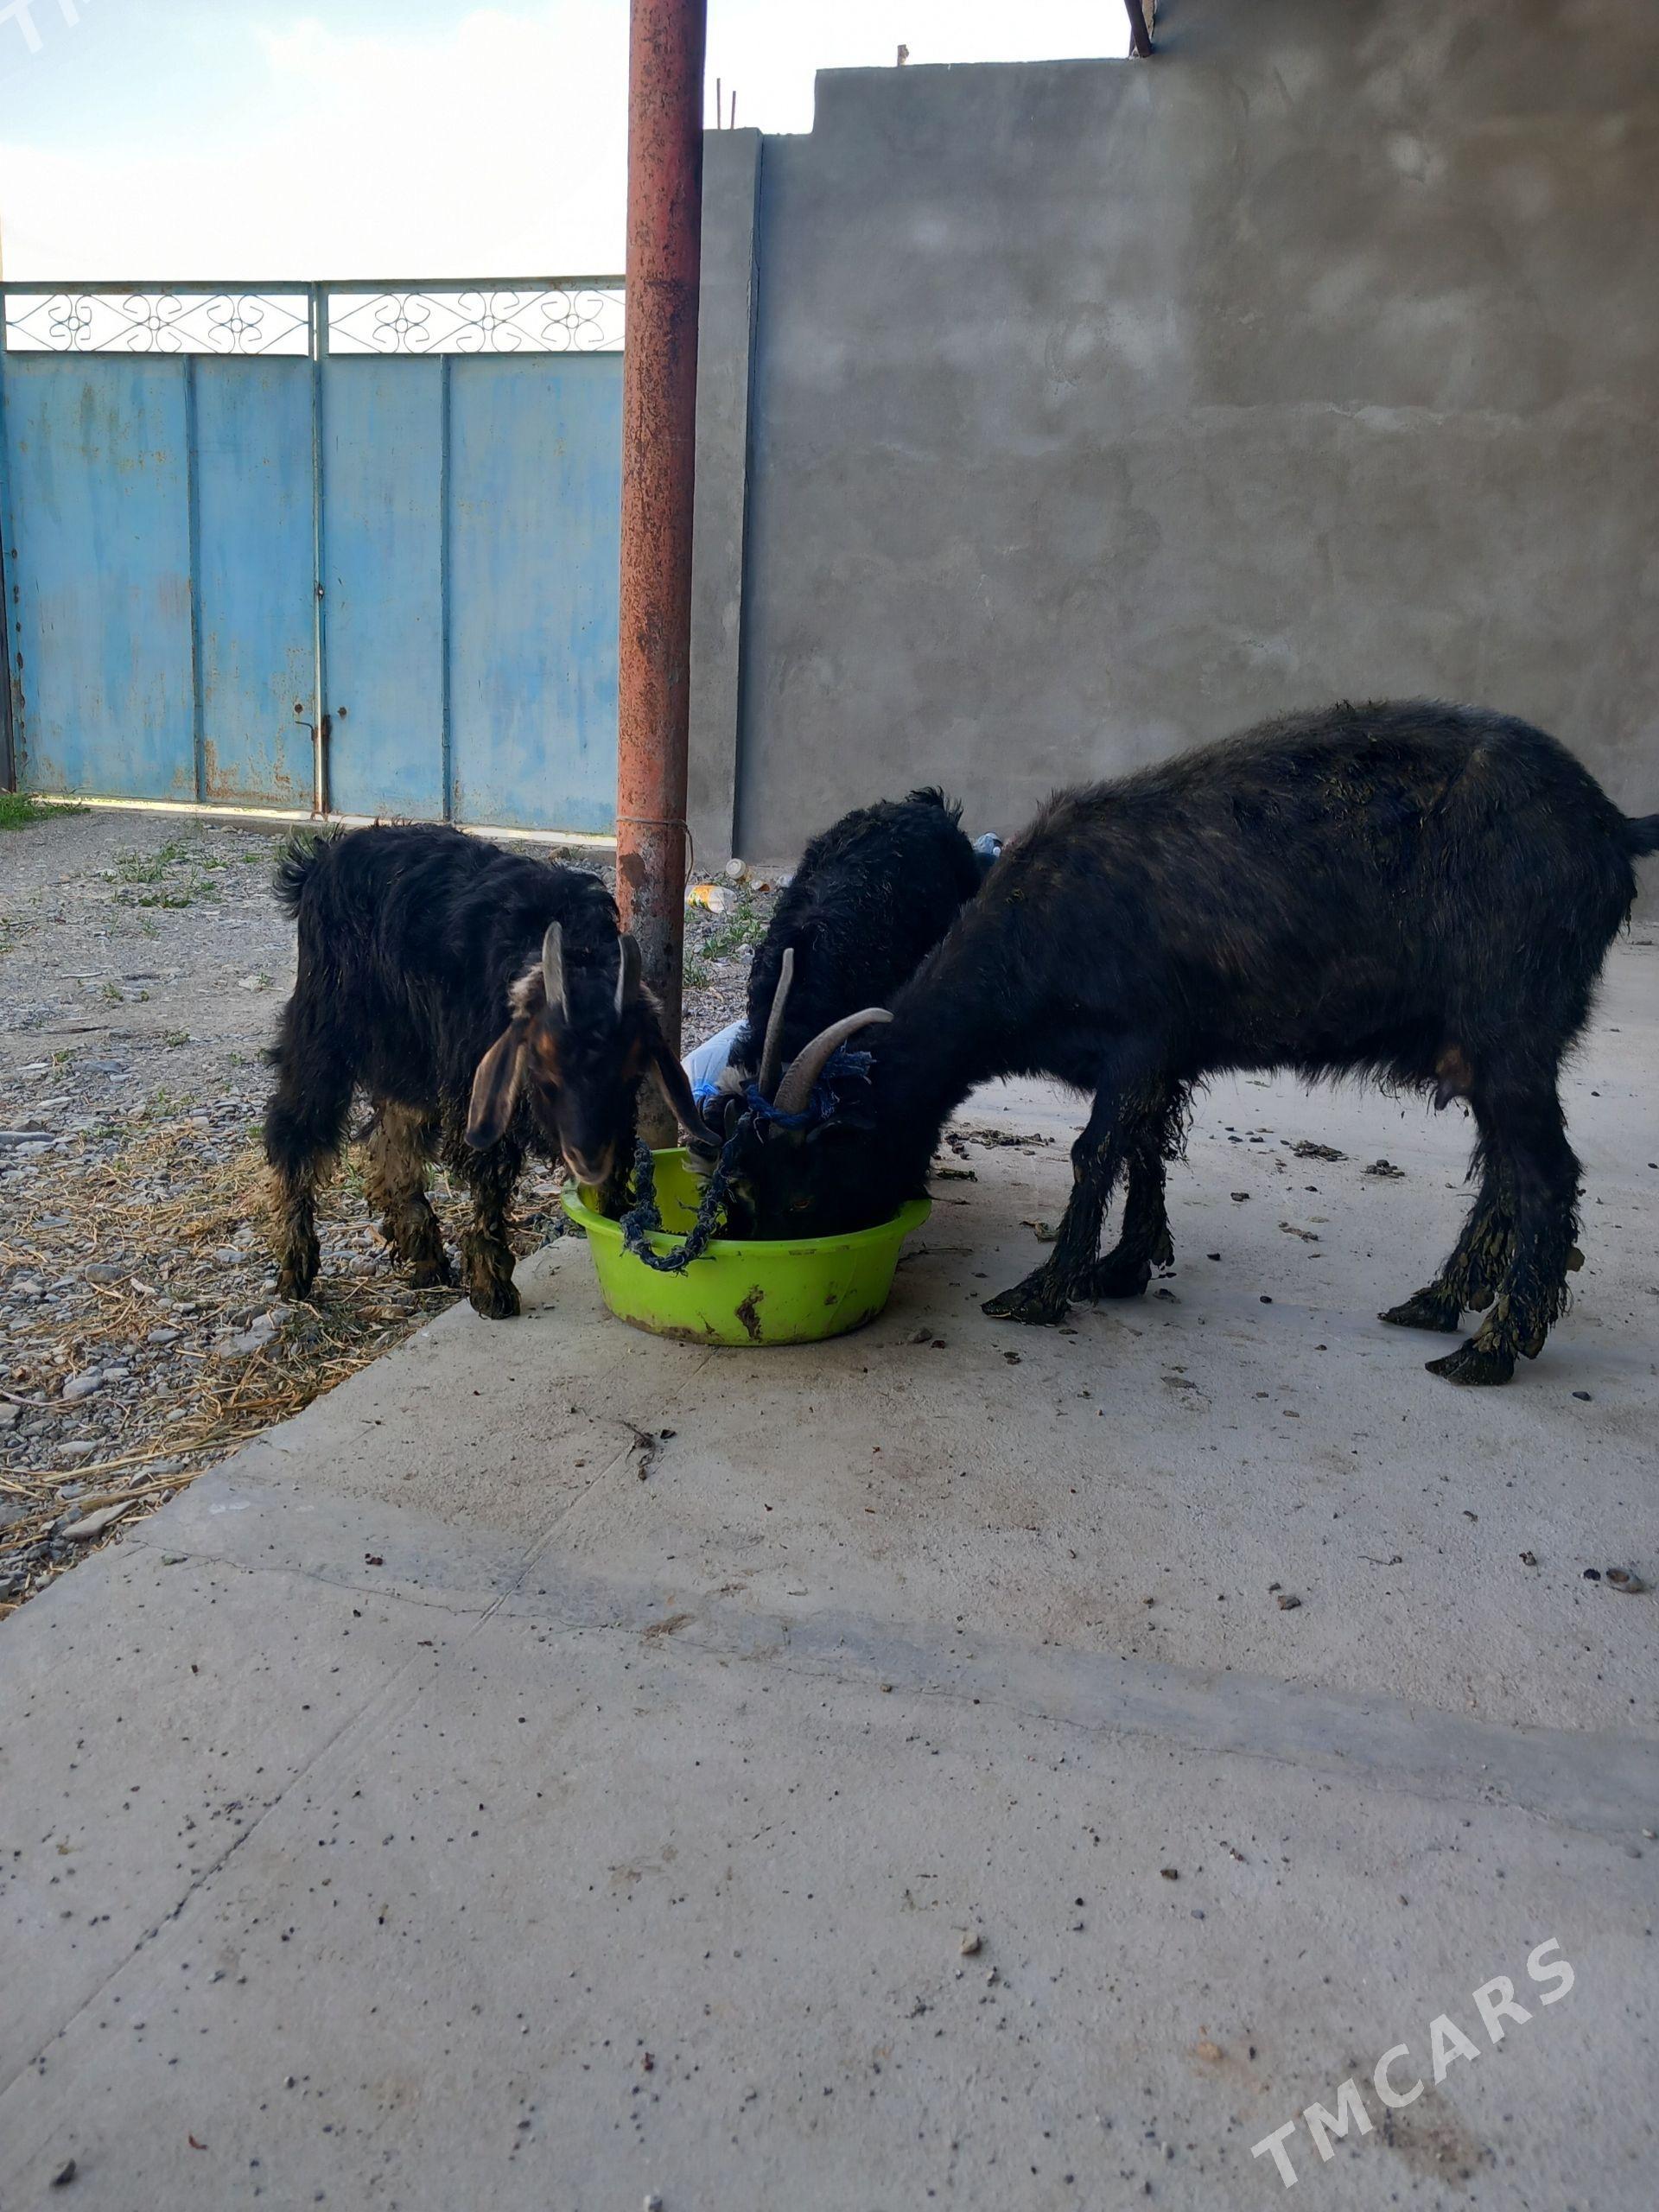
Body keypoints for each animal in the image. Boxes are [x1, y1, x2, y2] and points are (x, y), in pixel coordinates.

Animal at [264, 824, 705, 1318]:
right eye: (543, 1071)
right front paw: (493, 1285)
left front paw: (615, 1222)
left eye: (629, 1072)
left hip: (410, 1055)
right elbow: (490, 1176)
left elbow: (618, 1161)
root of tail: (320, 860)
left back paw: (424, 1254)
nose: (587, 1159)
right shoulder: (473, 1088)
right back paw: (295, 1267)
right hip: (324, 1030)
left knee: (393, 1135)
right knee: (296, 1129)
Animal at [740, 702, 1659, 1384]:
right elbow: (1145, 1148)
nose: (773, 1268)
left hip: (1510, 1032)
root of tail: (1612, 825)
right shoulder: (1161, 1062)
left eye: (805, 1191)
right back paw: (1438, 1302)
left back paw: (1492, 1346)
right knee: (1505, 1169)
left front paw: (1043, 1289)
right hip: (1482, 1049)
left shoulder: (1140, 1041)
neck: (1042, 921)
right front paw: (1122, 1269)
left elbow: (1093, 1153)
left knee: (1546, 1176)